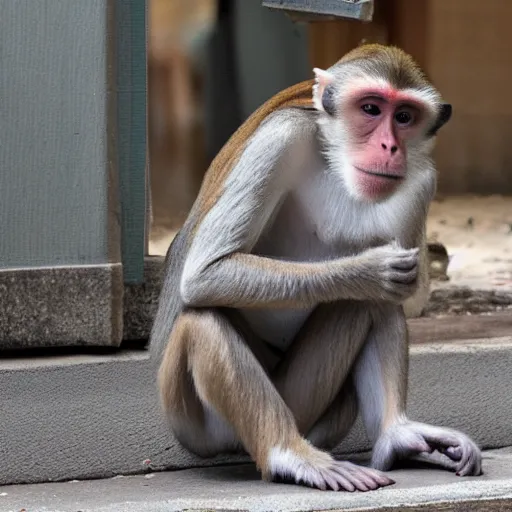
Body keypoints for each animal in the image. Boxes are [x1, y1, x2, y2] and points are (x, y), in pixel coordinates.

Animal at [150, 45, 482, 492]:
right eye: (371, 108)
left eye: (404, 116)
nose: (389, 147)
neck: (334, 158)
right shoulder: (281, 139)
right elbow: (207, 272)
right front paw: (368, 270)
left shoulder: (422, 179)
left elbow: (407, 294)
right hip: (197, 424)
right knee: (200, 323)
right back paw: (288, 453)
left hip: (309, 410)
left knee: (370, 304)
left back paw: (396, 435)